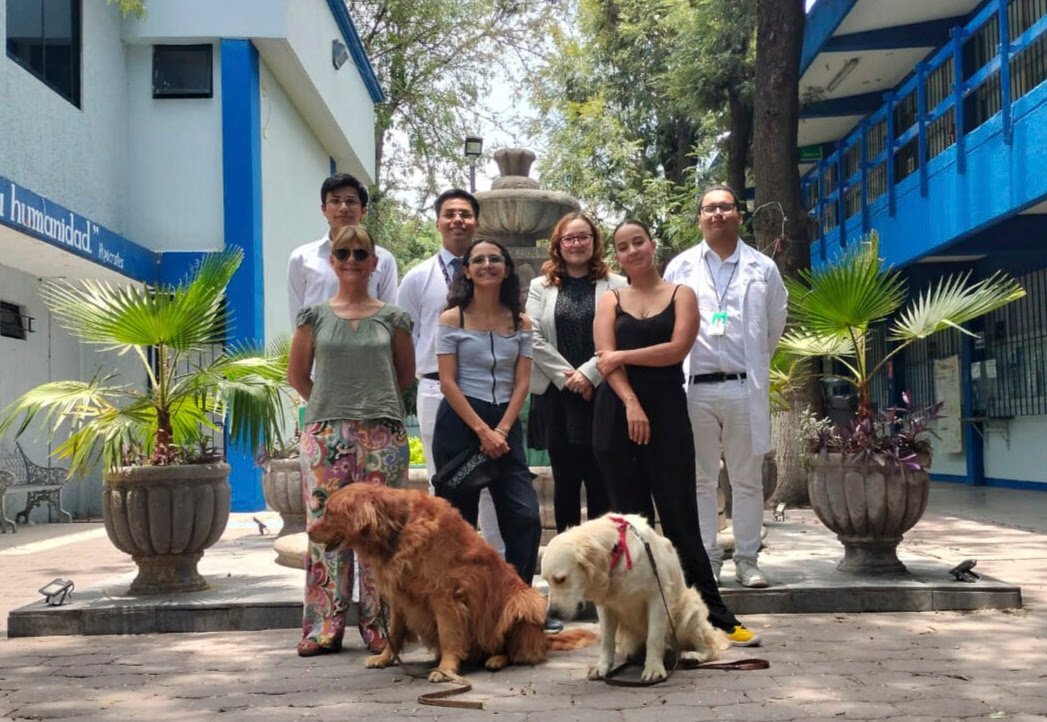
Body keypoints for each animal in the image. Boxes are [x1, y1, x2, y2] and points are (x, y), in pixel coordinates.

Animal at [308, 484, 594, 682]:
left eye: (330, 513)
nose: (309, 531)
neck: (398, 529)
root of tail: (542, 639)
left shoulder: (444, 595)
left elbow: (448, 635)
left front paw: (445, 669)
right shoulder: (401, 597)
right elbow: (395, 633)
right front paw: (385, 658)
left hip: (524, 600)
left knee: (516, 652)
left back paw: (497, 659)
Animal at [542, 513, 728, 682]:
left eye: (560, 579)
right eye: (546, 580)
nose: (552, 613)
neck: (617, 551)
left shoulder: (657, 597)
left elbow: (654, 637)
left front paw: (653, 669)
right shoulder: (605, 606)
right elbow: (607, 640)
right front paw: (602, 667)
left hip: (689, 610)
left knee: (710, 648)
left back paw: (692, 656)